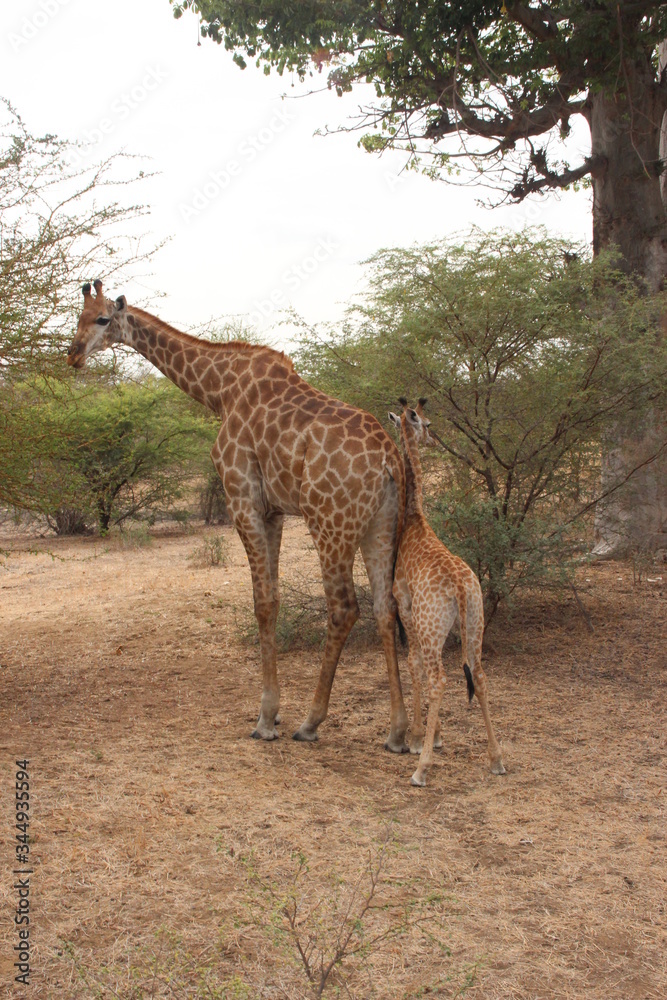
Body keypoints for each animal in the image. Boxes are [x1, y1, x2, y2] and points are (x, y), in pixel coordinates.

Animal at [67, 281, 409, 751]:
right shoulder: (276, 510)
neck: (218, 388)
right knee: (385, 606)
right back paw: (397, 732)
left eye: (103, 318)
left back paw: (311, 723)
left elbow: (262, 602)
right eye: (77, 317)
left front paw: (267, 719)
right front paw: (273, 712)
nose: (73, 355)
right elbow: (275, 598)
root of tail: (390, 459)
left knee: (343, 608)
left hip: (329, 522)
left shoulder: (242, 498)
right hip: (381, 524)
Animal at [388, 398, 505, 786]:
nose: (433, 439)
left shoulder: (405, 605)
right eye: (426, 424)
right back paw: (496, 759)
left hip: (432, 625)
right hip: (474, 623)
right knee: (479, 675)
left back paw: (420, 770)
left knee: (439, 677)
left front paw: (417, 739)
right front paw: (435, 735)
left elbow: (412, 663)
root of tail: (459, 587)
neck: (415, 519)